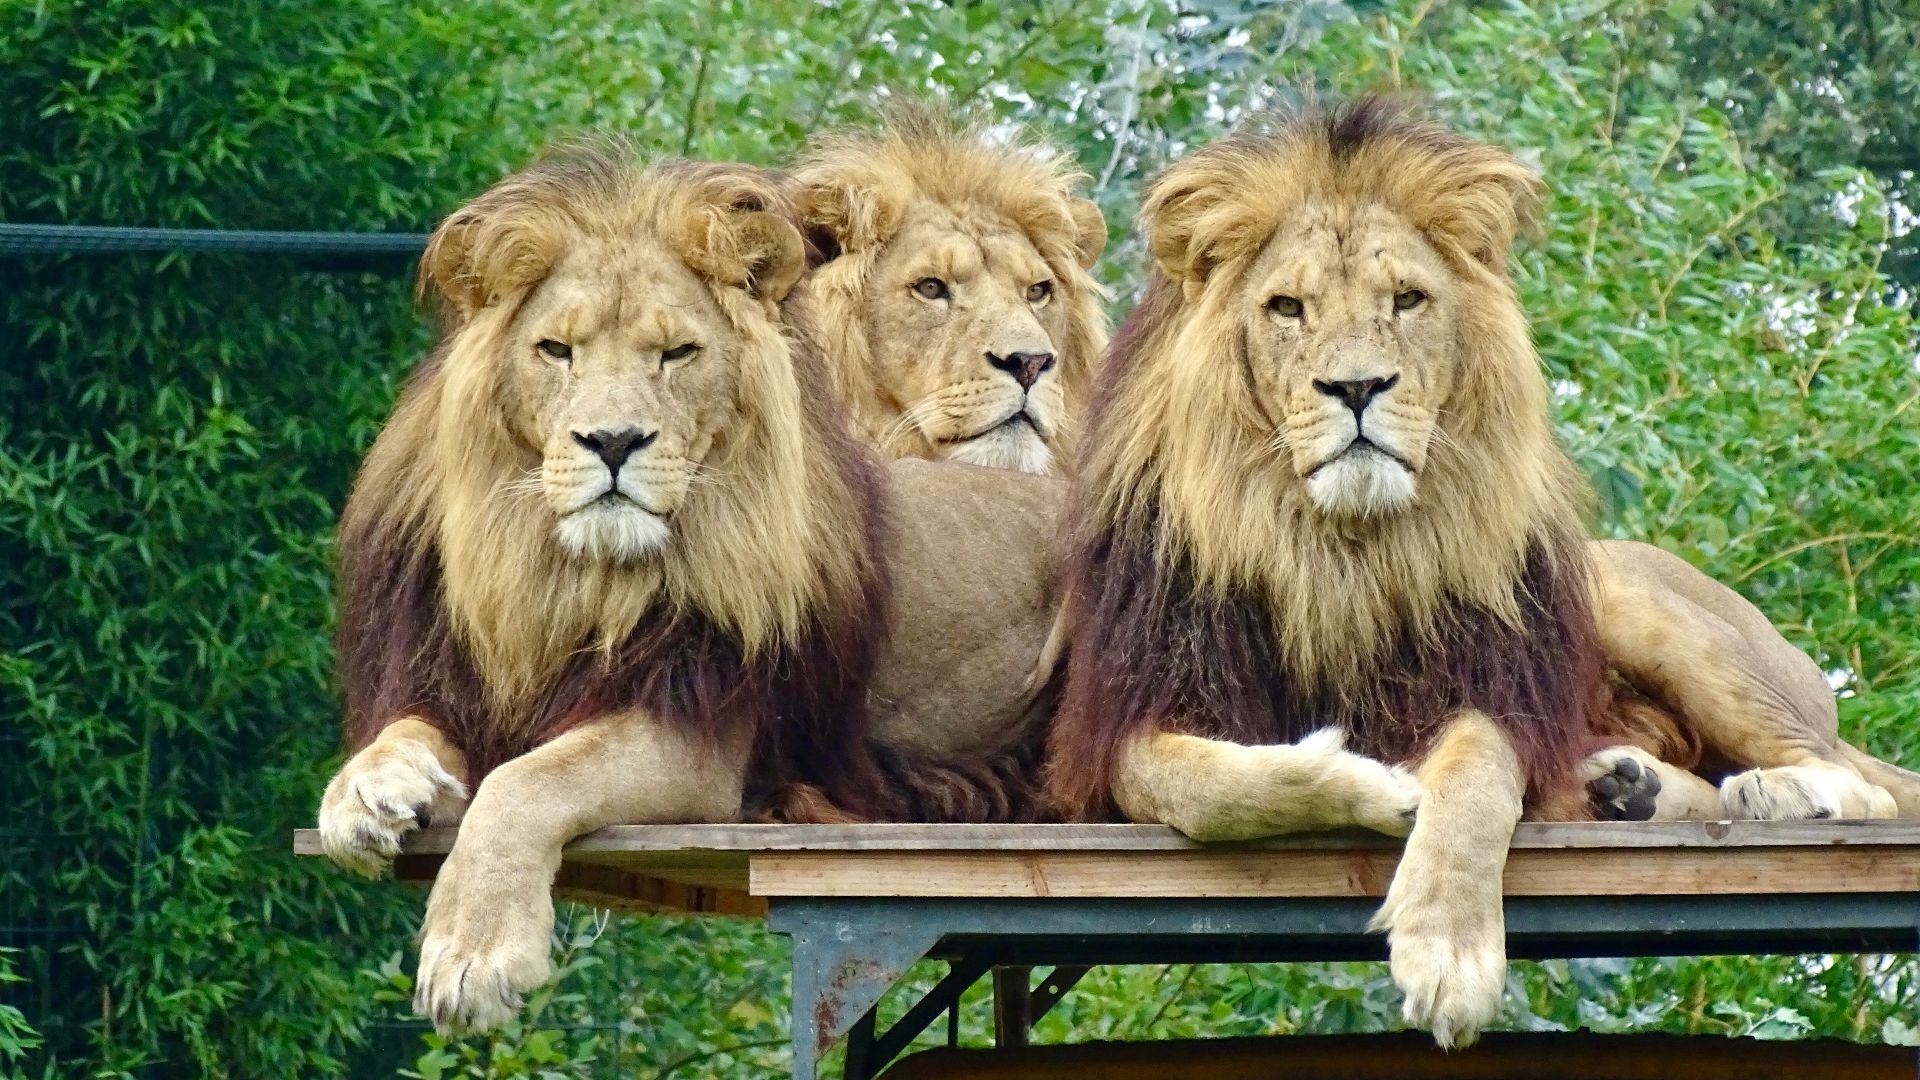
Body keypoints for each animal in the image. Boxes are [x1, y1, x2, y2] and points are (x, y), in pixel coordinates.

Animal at [315, 147, 1055, 1034]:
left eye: (677, 354)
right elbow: (400, 736)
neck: (558, 579)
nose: (613, 442)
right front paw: (364, 795)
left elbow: (527, 782)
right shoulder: (452, 679)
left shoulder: (700, 737)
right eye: (556, 349)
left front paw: (474, 952)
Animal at [1041, 97, 1919, 1050]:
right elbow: (1216, 788)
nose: (1357, 388)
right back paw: (1627, 789)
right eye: (1287, 308)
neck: (1336, 550)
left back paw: (1784, 791)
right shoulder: (1140, 712)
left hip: (1652, 613)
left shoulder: (1493, 677)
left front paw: (1450, 951)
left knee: (1864, 784)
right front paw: (1372, 780)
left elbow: (1470, 786)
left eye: (1407, 299)